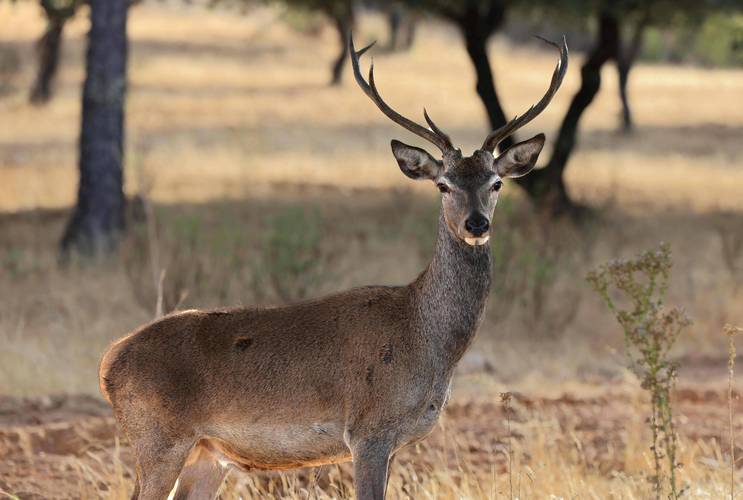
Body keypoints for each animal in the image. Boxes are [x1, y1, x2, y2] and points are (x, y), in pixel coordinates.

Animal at [98, 34, 568, 500]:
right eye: (443, 185)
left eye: (496, 182)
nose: (476, 223)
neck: (428, 342)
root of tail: (108, 364)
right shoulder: (368, 430)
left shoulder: (392, 441)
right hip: (158, 439)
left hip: (207, 454)